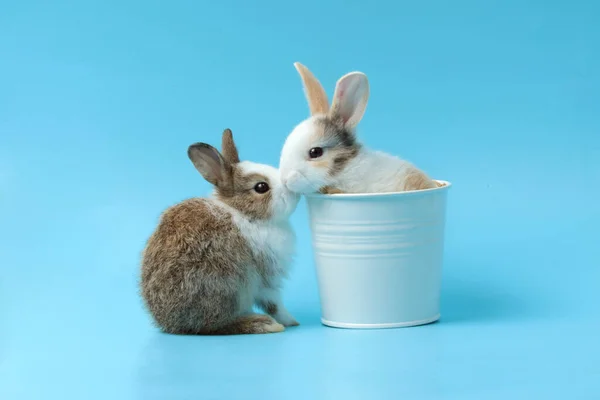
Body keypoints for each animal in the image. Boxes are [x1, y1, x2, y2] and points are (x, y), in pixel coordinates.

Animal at [140, 129, 300, 334]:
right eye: (261, 187)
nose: (292, 190)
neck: (243, 212)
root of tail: (172, 324)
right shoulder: (267, 276)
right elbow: (274, 303)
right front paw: (291, 321)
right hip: (227, 288)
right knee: (215, 326)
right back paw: (262, 324)